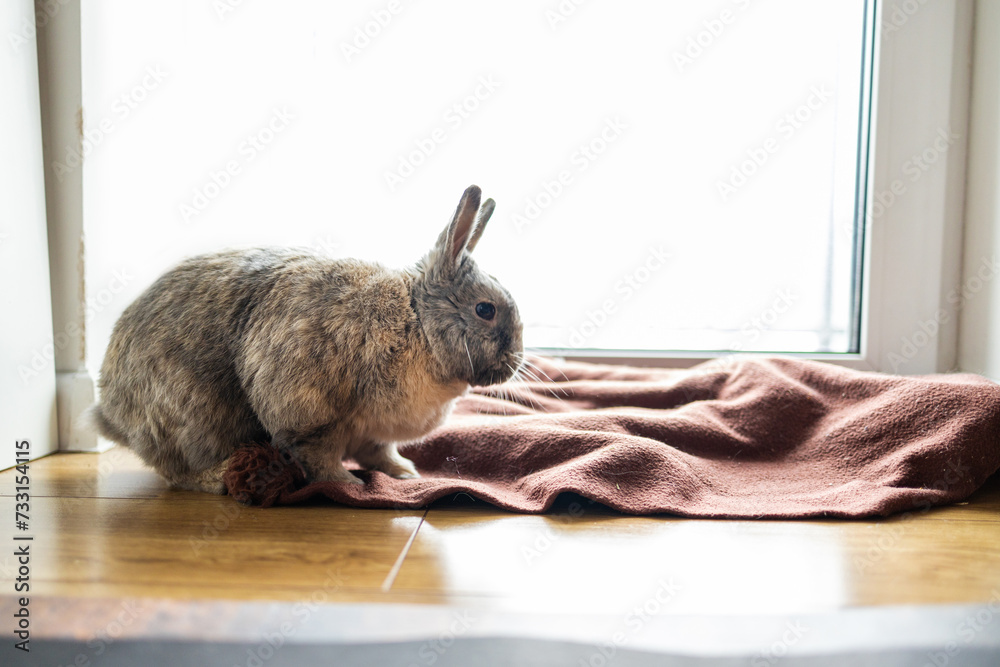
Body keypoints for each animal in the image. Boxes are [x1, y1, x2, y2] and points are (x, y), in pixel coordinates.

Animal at [90, 185, 524, 494]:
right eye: (485, 310)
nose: (516, 360)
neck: (415, 320)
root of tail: (110, 413)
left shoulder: (370, 432)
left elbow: (379, 453)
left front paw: (405, 474)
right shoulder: (313, 415)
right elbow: (319, 456)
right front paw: (349, 485)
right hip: (194, 418)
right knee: (176, 471)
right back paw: (218, 479)